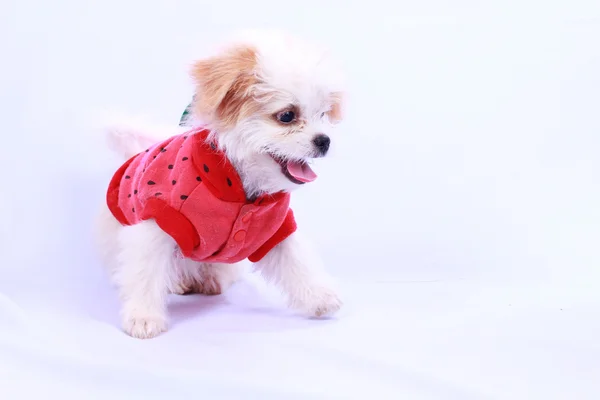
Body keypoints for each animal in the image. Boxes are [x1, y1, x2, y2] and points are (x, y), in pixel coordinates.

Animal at [95, 29, 344, 340]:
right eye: (287, 116)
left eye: (323, 114)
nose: (324, 141)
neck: (238, 187)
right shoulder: (157, 221)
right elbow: (145, 271)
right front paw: (142, 317)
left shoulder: (274, 227)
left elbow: (296, 258)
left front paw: (320, 296)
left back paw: (210, 279)